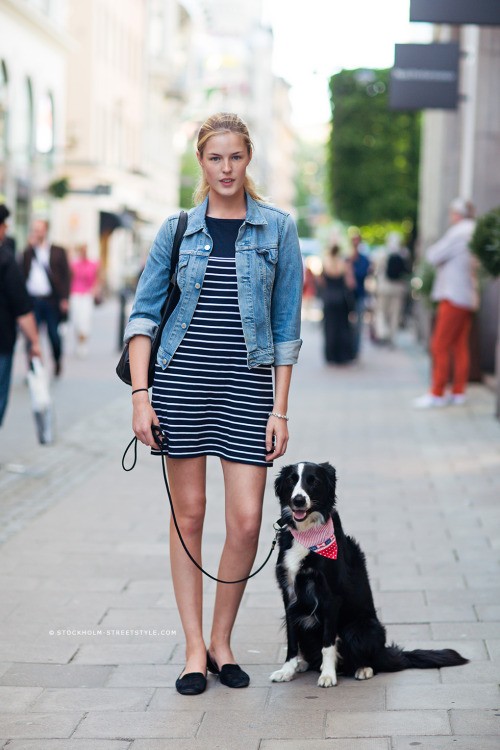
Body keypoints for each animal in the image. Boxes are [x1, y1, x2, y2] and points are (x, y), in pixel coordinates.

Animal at [270, 461, 468, 688]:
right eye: (291, 480)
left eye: (313, 481)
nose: (298, 500)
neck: (306, 534)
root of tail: (386, 652)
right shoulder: (289, 596)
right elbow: (292, 640)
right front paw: (287, 670)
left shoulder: (331, 597)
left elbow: (328, 643)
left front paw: (328, 675)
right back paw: (304, 664)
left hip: (360, 628)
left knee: (371, 660)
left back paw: (362, 668)